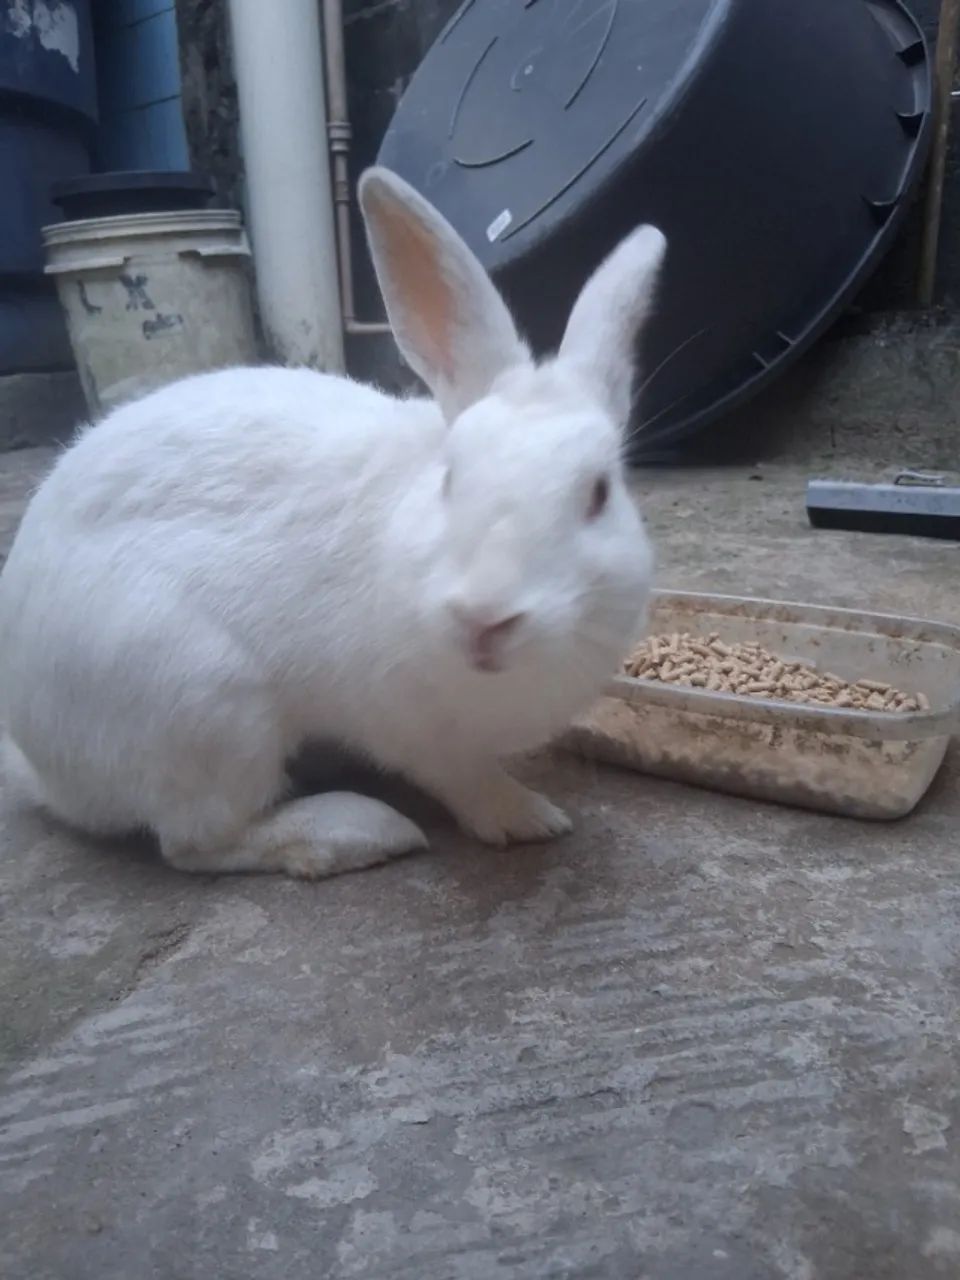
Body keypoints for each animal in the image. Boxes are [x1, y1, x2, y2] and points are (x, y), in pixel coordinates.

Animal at [0, 167, 666, 880]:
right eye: (451, 478)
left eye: (598, 494)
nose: (485, 618)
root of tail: (48, 768)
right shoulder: (409, 727)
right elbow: (464, 778)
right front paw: (528, 818)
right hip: (208, 707)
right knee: (197, 843)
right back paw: (360, 830)